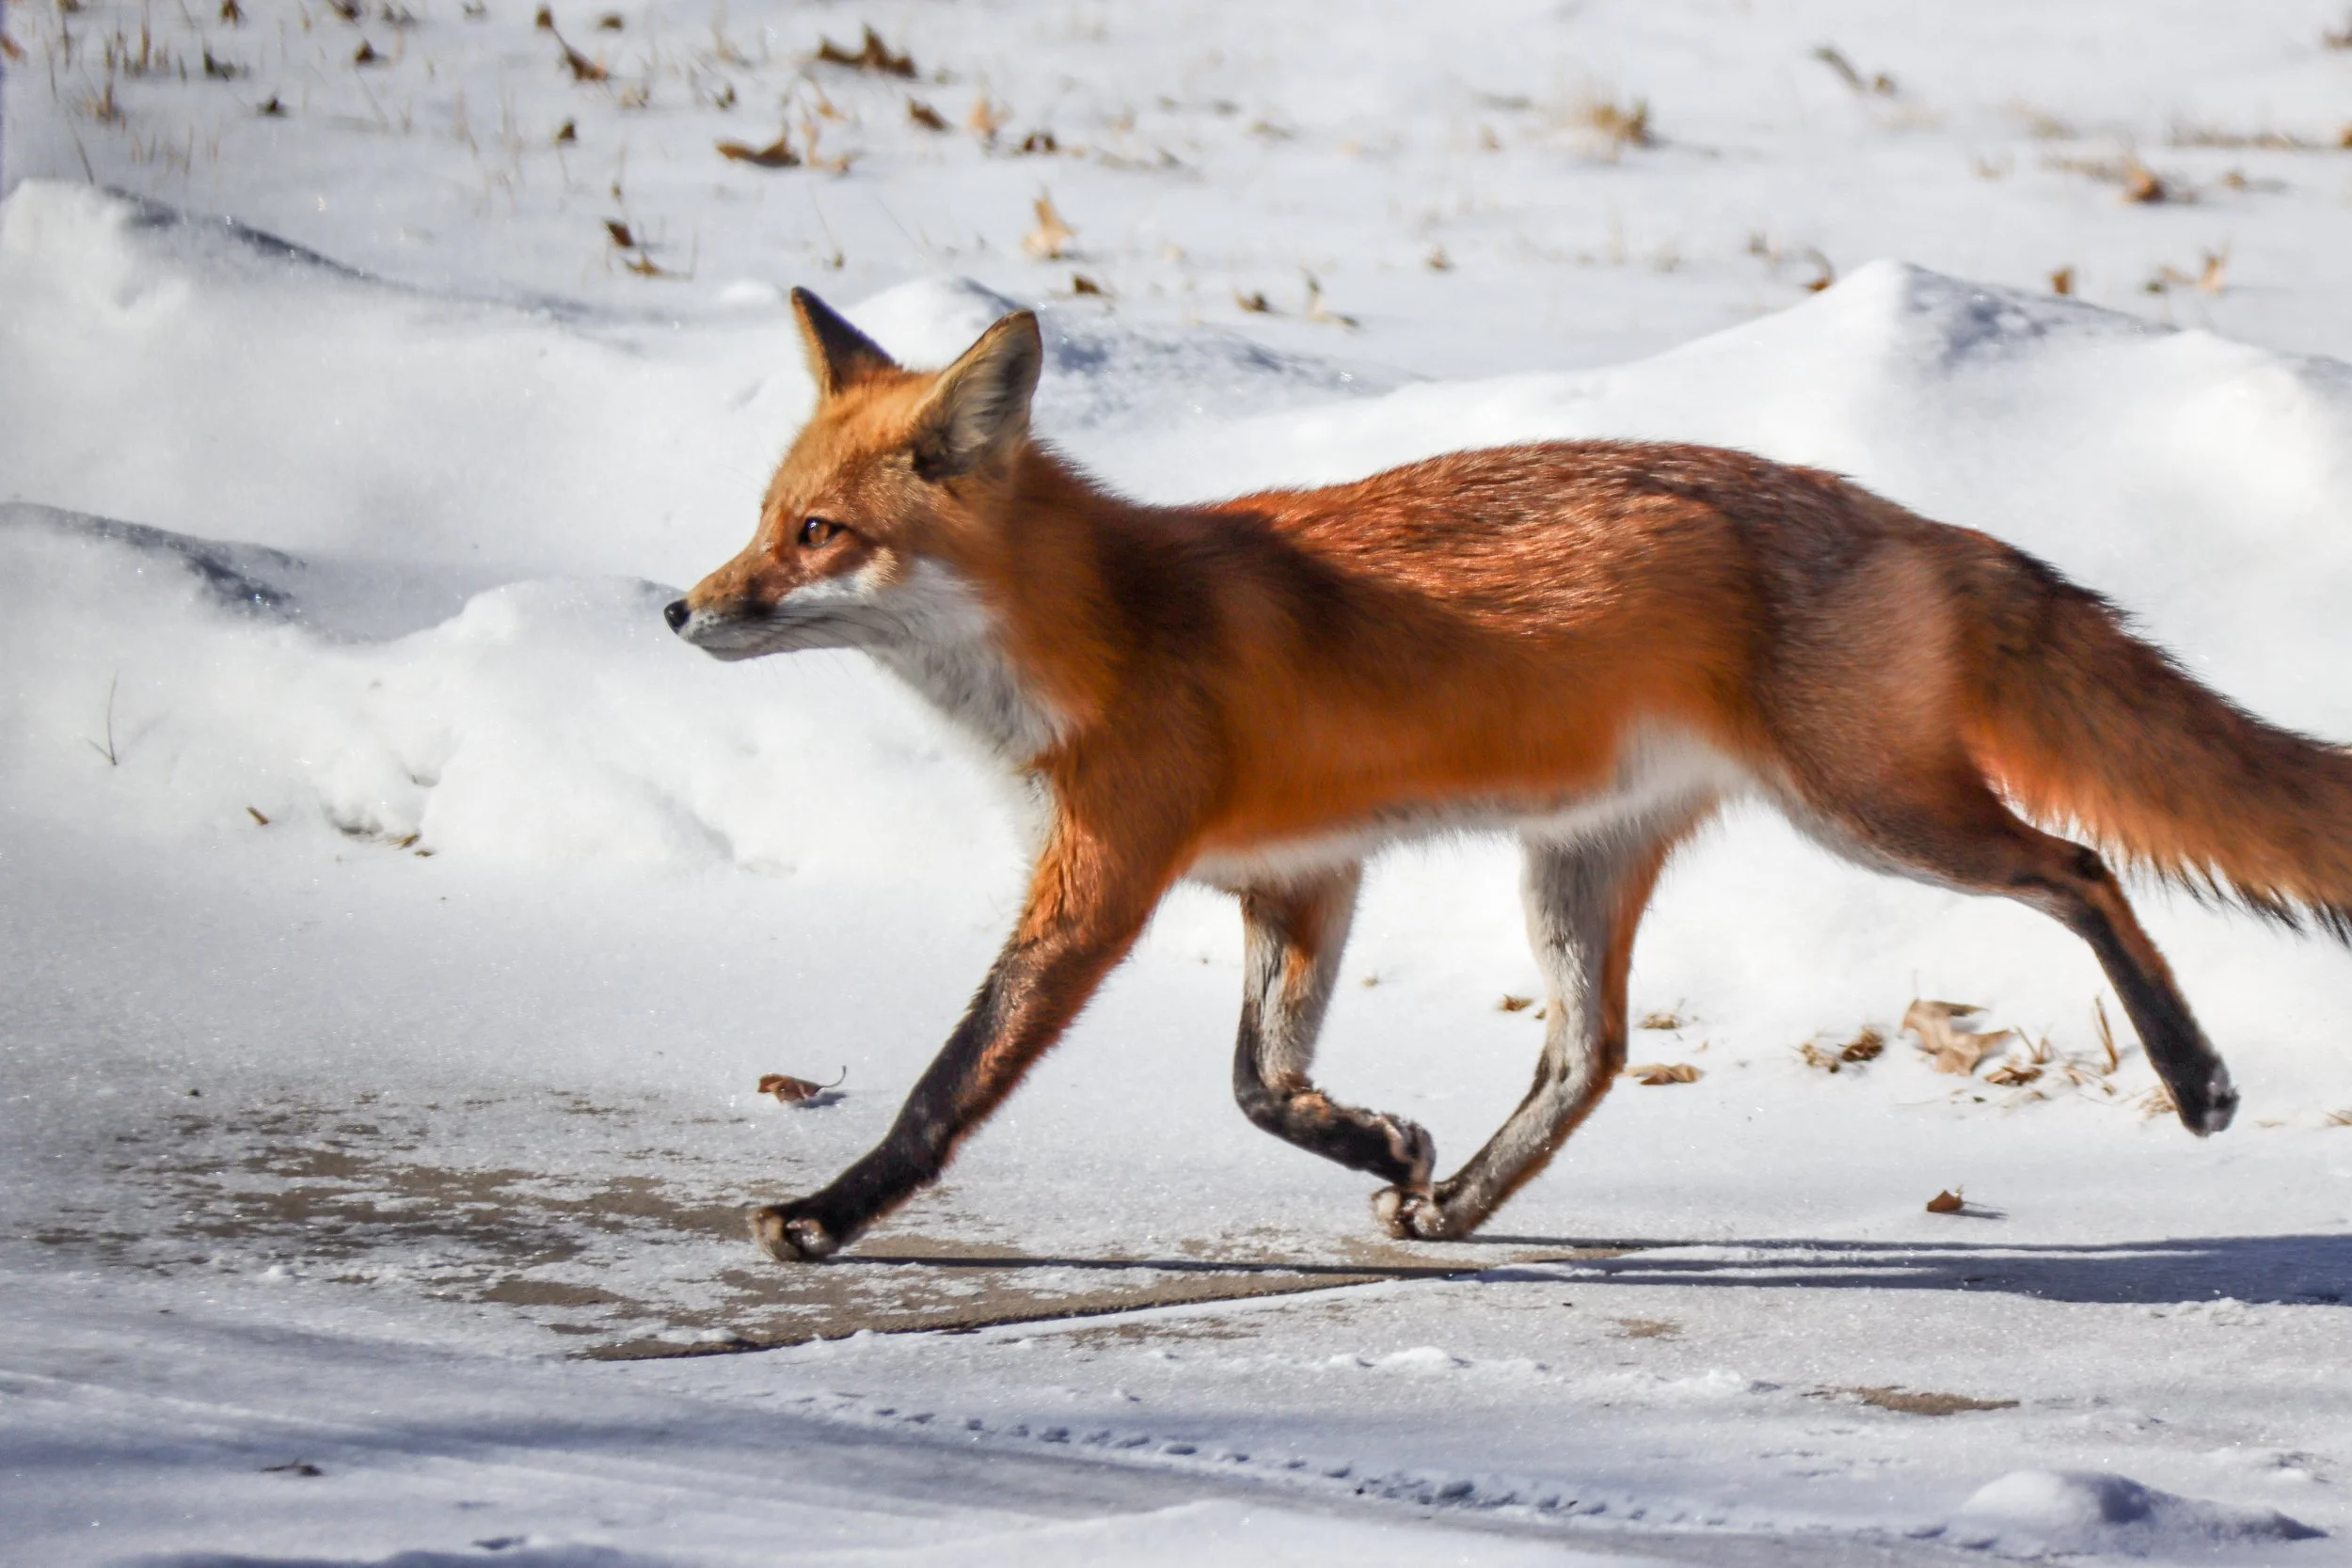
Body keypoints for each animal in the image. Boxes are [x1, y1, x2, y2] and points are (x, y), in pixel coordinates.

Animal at [668, 288, 2352, 1264]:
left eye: (817, 535)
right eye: (761, 518)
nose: (681, 609)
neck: (1102, 625)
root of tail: (1905, 513)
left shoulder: (1106, 877)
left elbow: (952, 1081)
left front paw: (828, 1210)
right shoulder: (1303, 874)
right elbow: (1259, 1082)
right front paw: (1380, 1141)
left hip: (1873, 815)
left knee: (2082, 867)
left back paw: (2196, 1076)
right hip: (1583, 864)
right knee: (1589, 1055)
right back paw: (1462, 1198)